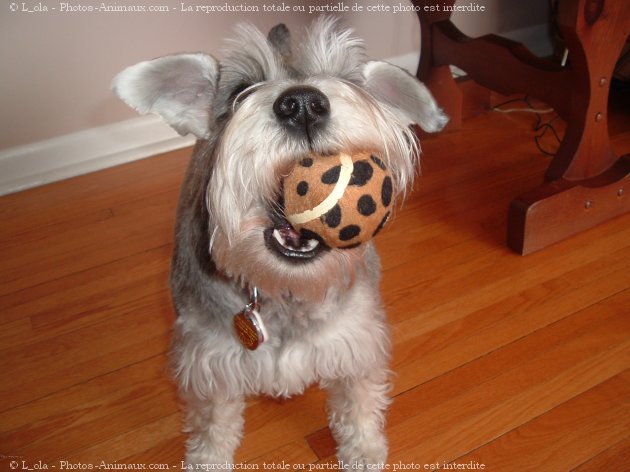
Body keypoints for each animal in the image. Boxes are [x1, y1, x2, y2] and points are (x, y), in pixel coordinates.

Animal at [115, 14, 450, 468]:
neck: (286, 290)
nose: (304, 103)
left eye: (347, 81)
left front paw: (364, 448)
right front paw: (208, 458)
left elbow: (358, 399)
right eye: (240, 90)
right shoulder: (209, 358)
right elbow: (213, 420)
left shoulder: (356, 339)